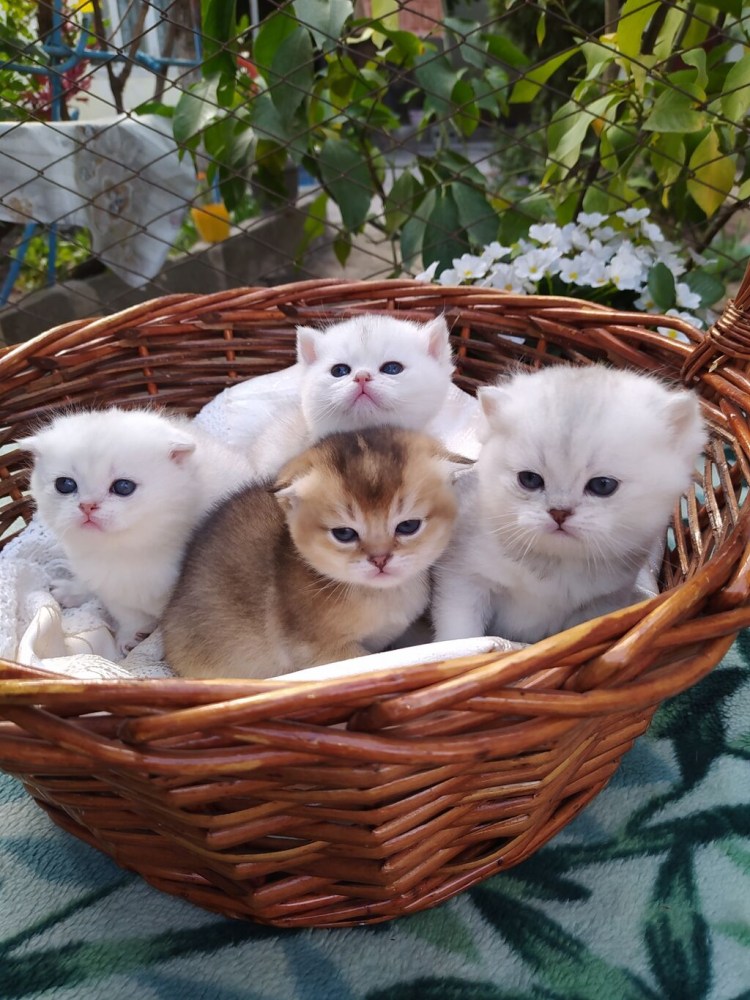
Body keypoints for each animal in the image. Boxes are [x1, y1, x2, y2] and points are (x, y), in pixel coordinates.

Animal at [20, 407, 256, 655]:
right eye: (65, 485)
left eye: (124, 487)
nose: (87, 506)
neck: (128, 549)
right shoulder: (109, 586)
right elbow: (127, 613)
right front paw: (132, 635)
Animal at [432, 366, 707, 645]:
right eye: (529, 479)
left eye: (603, 485)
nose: (559, 513)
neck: (554, 563)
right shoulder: (464, 579)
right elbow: (460, 635)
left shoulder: (602, 602)